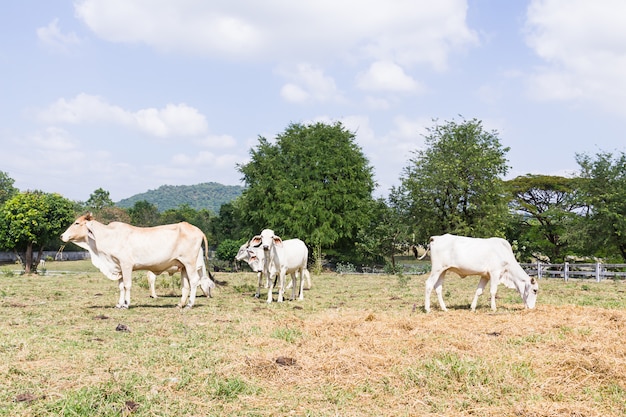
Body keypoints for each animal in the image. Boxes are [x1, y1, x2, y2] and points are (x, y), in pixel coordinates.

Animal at [61, 213, 214, 308]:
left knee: (194, 281)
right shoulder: (118, 267)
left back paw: (190, 304)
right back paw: (180, 304)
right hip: (183, 266)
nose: (62, 236)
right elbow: (121, 286)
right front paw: (119, 304)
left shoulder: (126, 265)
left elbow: (127, 285)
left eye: (77, 223)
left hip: (190, 263)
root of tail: (197, 230)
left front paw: (126, 304)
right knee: (186, 285)